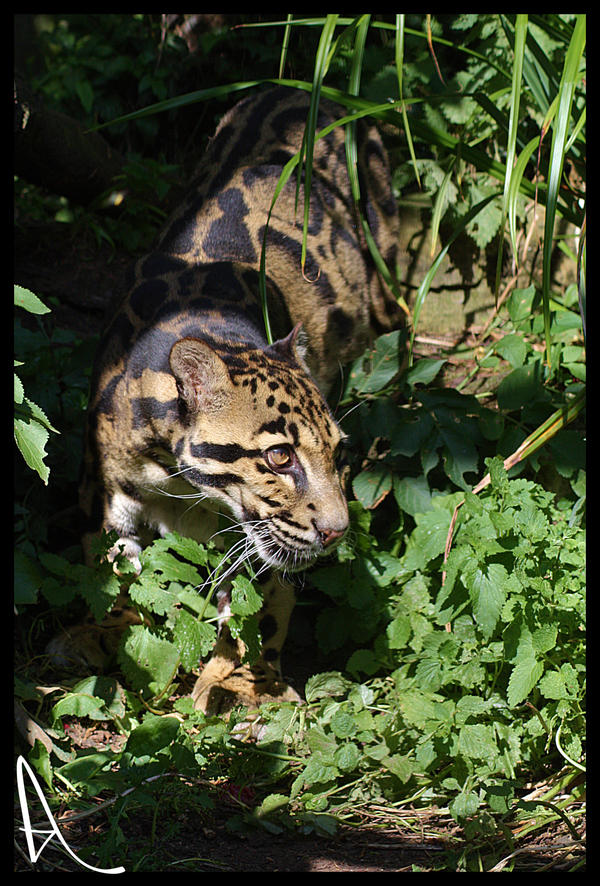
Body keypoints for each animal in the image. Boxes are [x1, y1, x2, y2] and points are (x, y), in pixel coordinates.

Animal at [49, 86, 403, 716]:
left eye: (337, 453)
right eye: (280, 457)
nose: (337, 532)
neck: (178, 481)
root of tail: (298, 88)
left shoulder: (264, 540)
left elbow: (257, 613)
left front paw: (242, 686)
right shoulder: (103, 494)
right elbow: (116, 580)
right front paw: (113, 640)